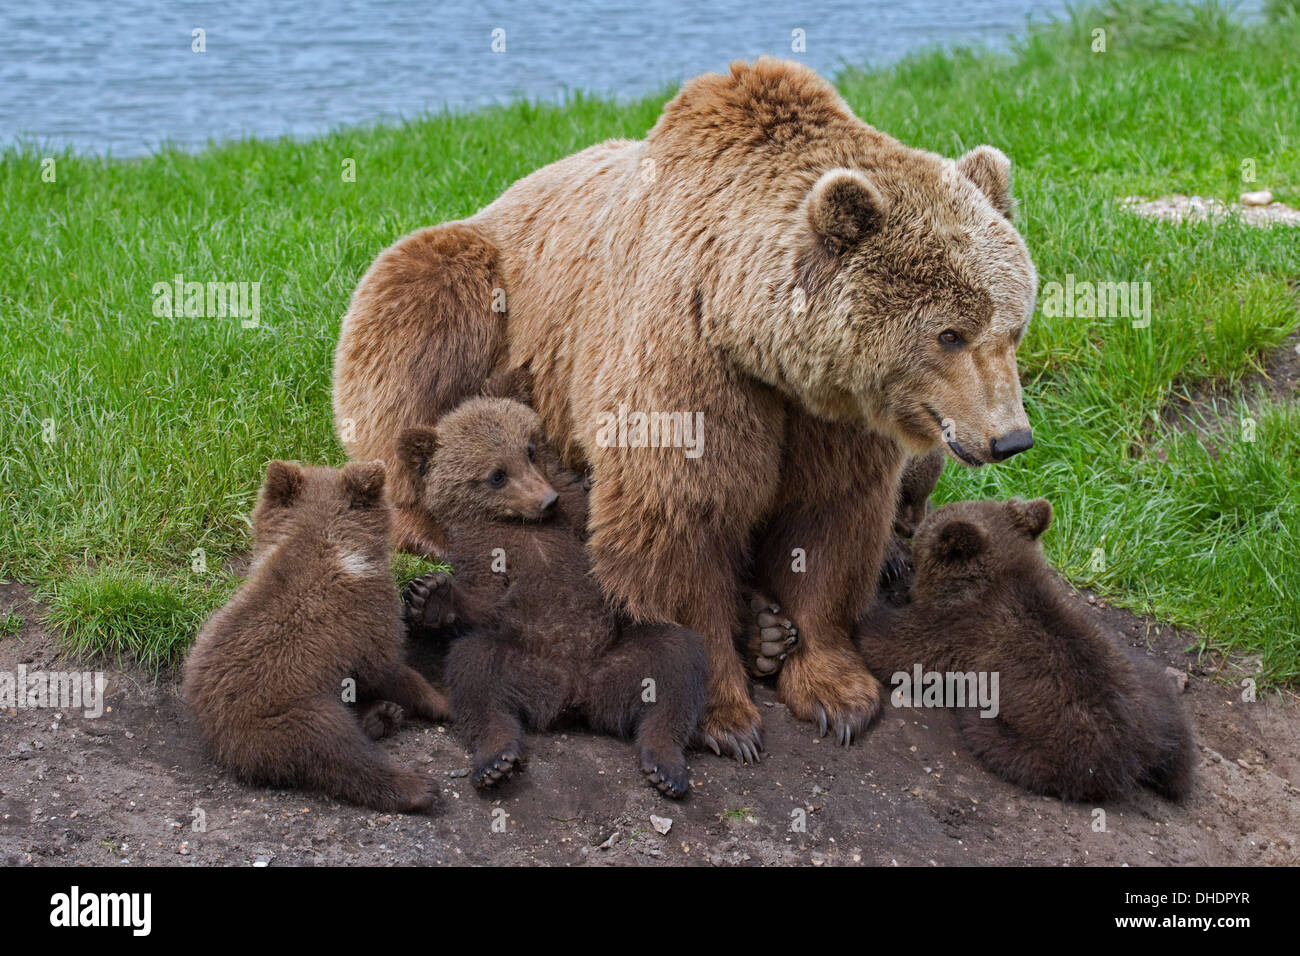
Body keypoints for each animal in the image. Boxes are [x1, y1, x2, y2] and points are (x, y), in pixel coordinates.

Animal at [332, 57, 1034, 764]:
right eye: (950, 335)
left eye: (1014, 326)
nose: (1011, 438)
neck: (754, 336)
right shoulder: (686, 361)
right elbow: (681, 517)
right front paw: (725, 714)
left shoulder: (826, 413)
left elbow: (829, 518)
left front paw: (836, 691)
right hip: (483, 286)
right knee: (414, 335)